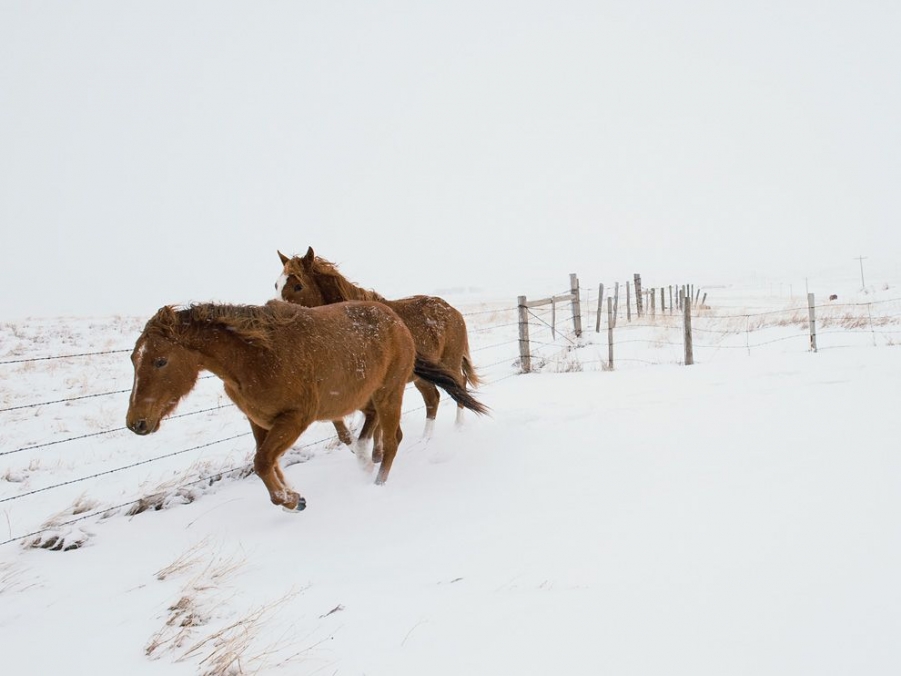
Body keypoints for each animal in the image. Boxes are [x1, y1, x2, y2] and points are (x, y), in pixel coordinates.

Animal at [125, 300, 487, 512]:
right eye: (133, 359)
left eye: (160, 361)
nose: (136, 423)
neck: (254, 358)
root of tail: (397, 320)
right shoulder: (259, 421)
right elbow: (267, 462)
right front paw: (294, 497)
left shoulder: (295, 419)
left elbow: (262, 462)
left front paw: (289, 500)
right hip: (370, 395)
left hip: (389, 393)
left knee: (394, 440)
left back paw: (376, 487)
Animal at [276, 247, 480, 449]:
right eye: (276, 285)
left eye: (298, 286)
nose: (277, 318)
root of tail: (452, 310)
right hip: (422, 376)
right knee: (433, 399)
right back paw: (425, 439)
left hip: (449, 362)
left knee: (460, 385)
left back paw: (458, 426)